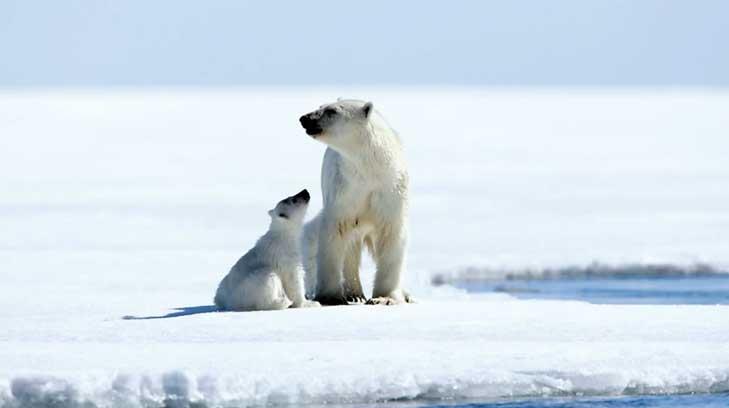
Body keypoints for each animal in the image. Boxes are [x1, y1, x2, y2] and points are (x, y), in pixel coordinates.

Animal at [296, 100, 410, 304]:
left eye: (331, 111)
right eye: (321, 105)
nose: (304, 118)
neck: (369, 169)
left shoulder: (390, 190)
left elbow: (391, 235)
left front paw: (384, 297)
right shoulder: (345, 190)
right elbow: (336, 232)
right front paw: (331, 296)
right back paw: (354, 293)